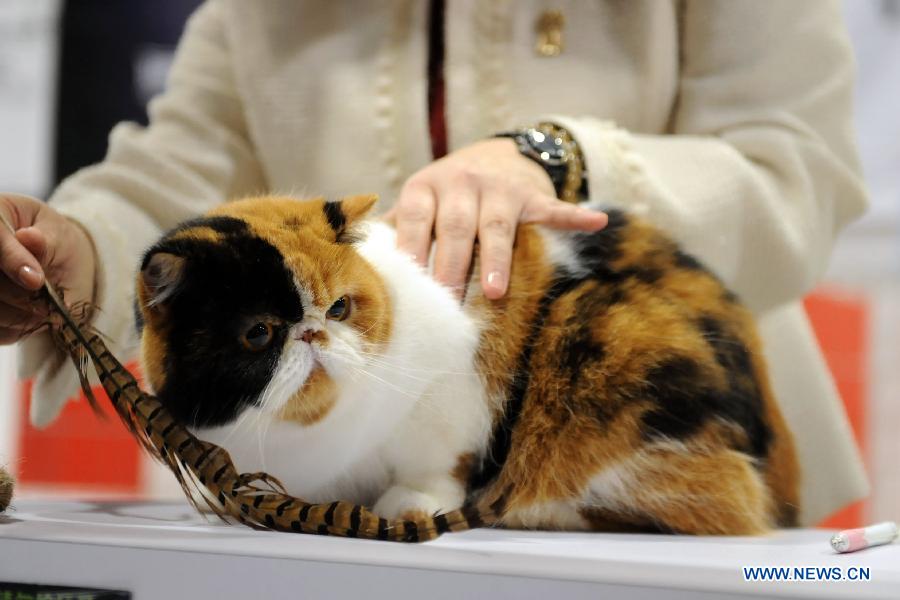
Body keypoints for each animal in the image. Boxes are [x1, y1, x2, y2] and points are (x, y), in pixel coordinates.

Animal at [135, 193, 800, 536]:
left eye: (341, 306)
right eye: (258, 333)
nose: (314, 332)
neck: (322, 433)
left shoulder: (454, 387)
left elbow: (437, 463)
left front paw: (412, 506)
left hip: (612, 345)